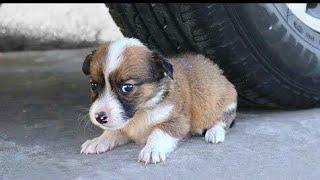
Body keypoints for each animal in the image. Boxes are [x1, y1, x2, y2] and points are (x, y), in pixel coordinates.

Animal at [80, 38, 238, 165]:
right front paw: (97, 141)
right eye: (93, 85)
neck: (141, 112)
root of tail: (218, 71)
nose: (99, 117)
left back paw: (214, 132)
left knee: (222, 119)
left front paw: (151, 150)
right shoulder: (123, 126)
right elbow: (112, 132)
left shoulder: (176, 121)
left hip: (222, 103)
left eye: (127, 87)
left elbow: (158, 133)